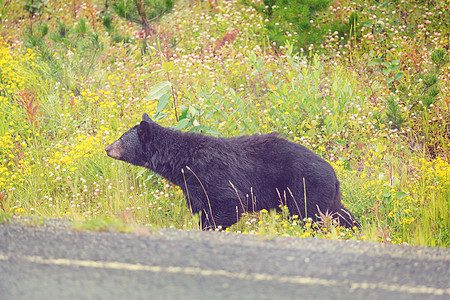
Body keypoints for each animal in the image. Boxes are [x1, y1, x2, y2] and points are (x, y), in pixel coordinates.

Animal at [104, 114, 358, 230]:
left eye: (122, 138)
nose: (106, 148)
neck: (181, 161)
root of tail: (333, 173)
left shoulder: (211, 176)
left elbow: (228, 204)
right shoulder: (193, 188)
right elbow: (200, 208)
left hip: (305, 188)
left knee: (309, 215)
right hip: (329, 196)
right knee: (339, 213)